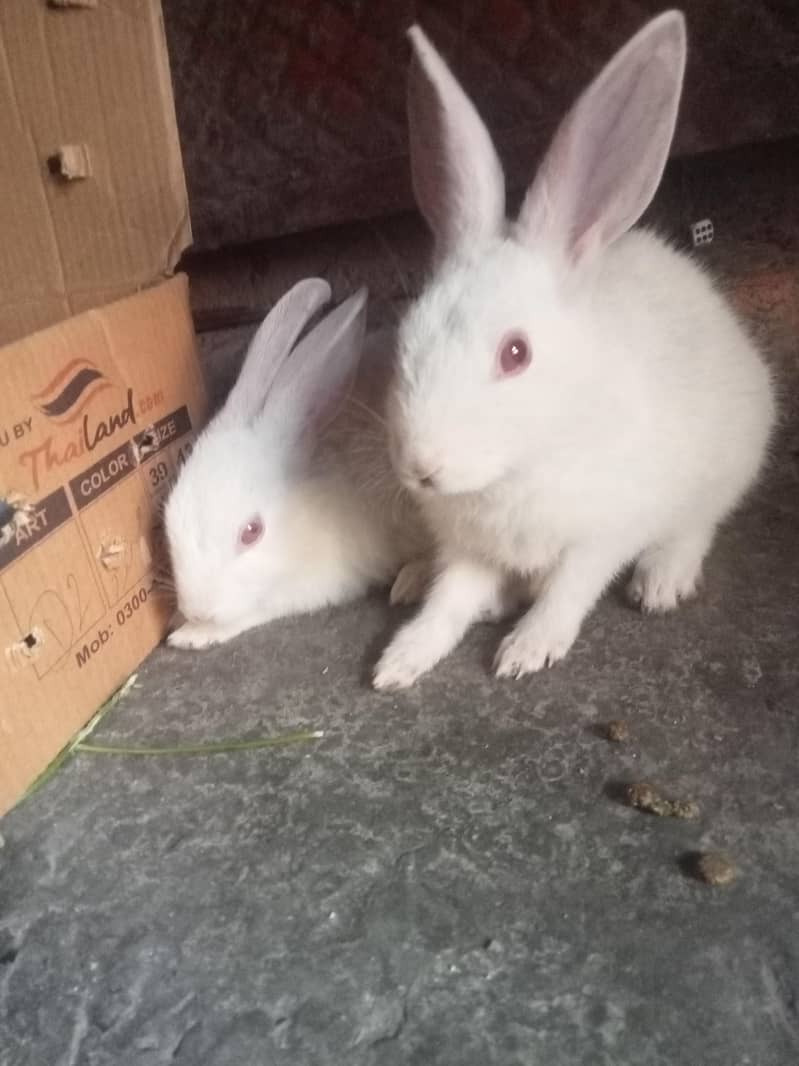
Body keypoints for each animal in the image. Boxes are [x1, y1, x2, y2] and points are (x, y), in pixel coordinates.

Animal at [165, 279, 431, 650]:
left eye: (252, 532)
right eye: (168, 515)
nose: (198, 608)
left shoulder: (318, 581)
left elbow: (253, 612)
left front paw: (190, 635)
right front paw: (179, 620)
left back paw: (410, 582)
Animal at [373, 11, 776, 690]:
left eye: (515, 354)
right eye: (407, 333)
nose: (422, 467)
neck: (519, 465)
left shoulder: (603, 532)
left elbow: (569, 589)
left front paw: (524, 652)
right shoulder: (466, 548)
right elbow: (449, 599)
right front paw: (400, 661)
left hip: (725, 462)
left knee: (698, 523)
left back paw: (661, 582)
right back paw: (418, 580)